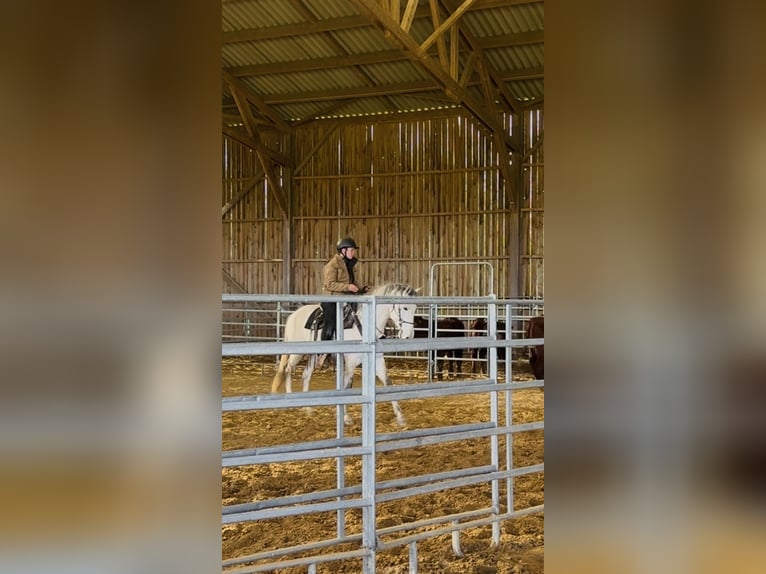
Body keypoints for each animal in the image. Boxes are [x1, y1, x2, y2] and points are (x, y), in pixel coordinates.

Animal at [270, 283, 419, 426]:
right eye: (405, 308)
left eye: (415, 308)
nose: (408, 336)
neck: (364, 325)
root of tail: (293, 315)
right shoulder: (351, 363)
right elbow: (348, 386)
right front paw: (346, 418)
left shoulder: (377, 360)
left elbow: (388, 383)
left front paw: (400, 417)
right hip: (297, 352)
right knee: (288, 369)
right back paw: (290, 398)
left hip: (313, 355)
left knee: (305, 374)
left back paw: (308, 409)